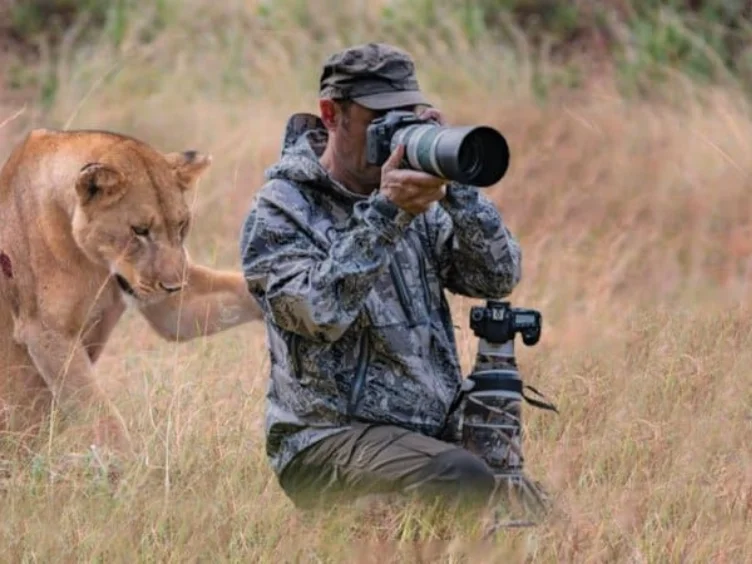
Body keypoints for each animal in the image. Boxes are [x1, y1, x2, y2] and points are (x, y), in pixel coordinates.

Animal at [0, 128, 263, 454]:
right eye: (139, 230)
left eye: (182, 225)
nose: (173, 286)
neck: (95, 265)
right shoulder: (45, 332)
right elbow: (99, 413)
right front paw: (127, 462)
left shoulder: (172, 308)